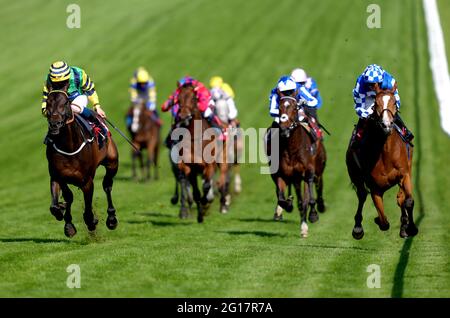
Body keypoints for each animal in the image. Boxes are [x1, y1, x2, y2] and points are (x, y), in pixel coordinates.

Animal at [44, 89, 118, 236]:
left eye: (65, 103)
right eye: (47, 102)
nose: (55, 124)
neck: (68, 147)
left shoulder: (86, 181)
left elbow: (88, 210)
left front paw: (92, 221)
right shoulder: (57, 176)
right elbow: (61, 201)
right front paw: (66, 221)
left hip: (112, 162)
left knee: (107, 185)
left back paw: (112, 219)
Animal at [172, 85, 229, 224]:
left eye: (193, 98)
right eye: (178, 99)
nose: (183, 116)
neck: (195, 137)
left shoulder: (209, 165)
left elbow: (207, 186)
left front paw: (205, 202)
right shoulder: (190, 168)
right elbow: (196, 192)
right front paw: (200, 215)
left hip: (223, 161)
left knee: (221, 181)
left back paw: (223, 205)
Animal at [268, 95, 326, 237]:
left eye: (295, 108)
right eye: (279, 107)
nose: (284, 129)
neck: (292, 148)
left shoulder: (307, 172)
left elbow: (307, 200)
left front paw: (312, 216)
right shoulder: (282, 175)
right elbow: (282, 198)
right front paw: (287, 206)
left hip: (318, 169)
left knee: (317, 185)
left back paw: (319, 207)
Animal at [348, 83, 418, 240]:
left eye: (394, 102)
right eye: (375, 104)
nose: (386, 124)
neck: (386, 153)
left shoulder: (404, 174)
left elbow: (408, 201)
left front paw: (410, 228)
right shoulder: (375, 188)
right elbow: (384, 222)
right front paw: (377, 221)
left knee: (400, 198)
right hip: (355, 174)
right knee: (362, 195)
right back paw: (357, 228)